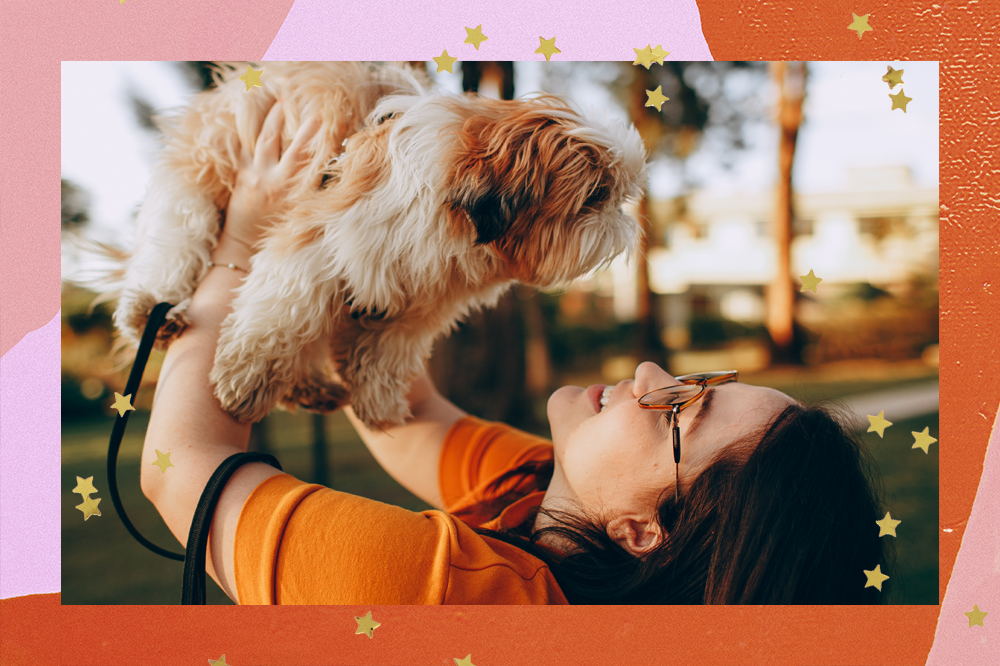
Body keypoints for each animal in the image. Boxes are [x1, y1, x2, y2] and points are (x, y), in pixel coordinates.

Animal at [84, 61, 648, 426]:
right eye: (596, 197)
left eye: (617, 195)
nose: (627, 220)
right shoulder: (320, 241)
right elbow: (280, 315)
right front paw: (246, 379)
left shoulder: (420, 300)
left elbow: (385, 349)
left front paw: (377, 401)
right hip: (196, 185)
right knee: (172, 247)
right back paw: (152, 312)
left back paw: (310, 388)